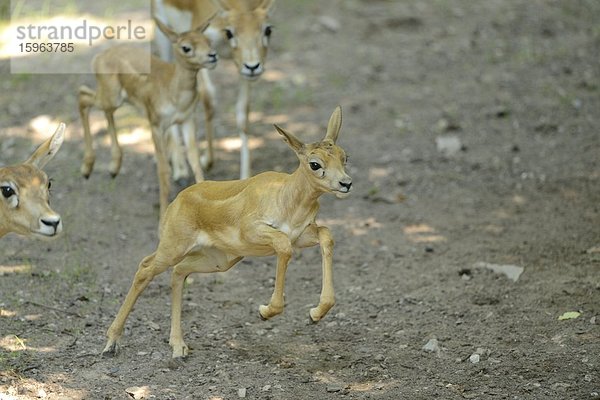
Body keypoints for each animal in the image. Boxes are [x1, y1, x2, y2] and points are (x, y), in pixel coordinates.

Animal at [79, 18, 218, 219]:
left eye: (207, 40)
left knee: (99, 107)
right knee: (82, 96)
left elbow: (195, 162)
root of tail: (99, 56)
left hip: (114, 100)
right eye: (186, 47)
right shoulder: (156, 125)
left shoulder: (187, 120)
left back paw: (113, 167)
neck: (174, 92)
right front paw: (162, 221)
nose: (212, 56)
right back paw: (86, 169)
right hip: (110, 97)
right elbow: (163, 170)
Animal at [102, 107, 352, 360]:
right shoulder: (253, 231)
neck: (287, 198)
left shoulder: (301, 236)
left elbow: (326, 235)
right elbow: (283, 246)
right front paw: (265, 311)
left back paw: (178, 346)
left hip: (219, 260)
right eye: (315, 164)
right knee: (145, 268)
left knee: (179, 271)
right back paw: (112, 342)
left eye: (344, 157)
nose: (346, 183)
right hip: (174, 247)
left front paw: (315, 314)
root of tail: (176, 202)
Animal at [155, 0, 276, 180]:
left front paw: (245, 177)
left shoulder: (242, 69)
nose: (253, 66)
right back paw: (180, 170)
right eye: (230, 32)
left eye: (267, 29)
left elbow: (243, 115)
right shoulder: (203, 55)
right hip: (164, 36)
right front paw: (207, 161)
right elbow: (209, 100)